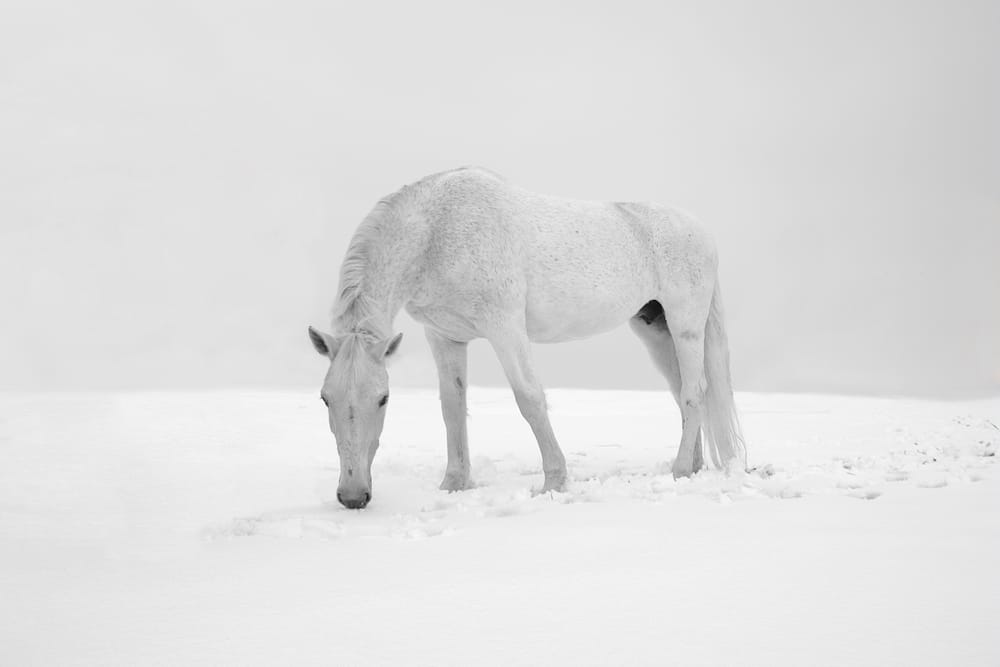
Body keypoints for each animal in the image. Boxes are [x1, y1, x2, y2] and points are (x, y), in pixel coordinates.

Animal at [308, 168, 748, 512]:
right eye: (325, 398)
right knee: (682, 393)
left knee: (693, 392)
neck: (438, 233)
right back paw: (692, 467)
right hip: (655, 328)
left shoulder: (504, 327)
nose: (353, 496)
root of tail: (701, 231)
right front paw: (454, 484)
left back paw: (679, 470)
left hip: (686, 324)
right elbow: (452, 406)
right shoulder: (445, 337)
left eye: (383, 398)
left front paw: (554, 482)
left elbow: (530, 399)